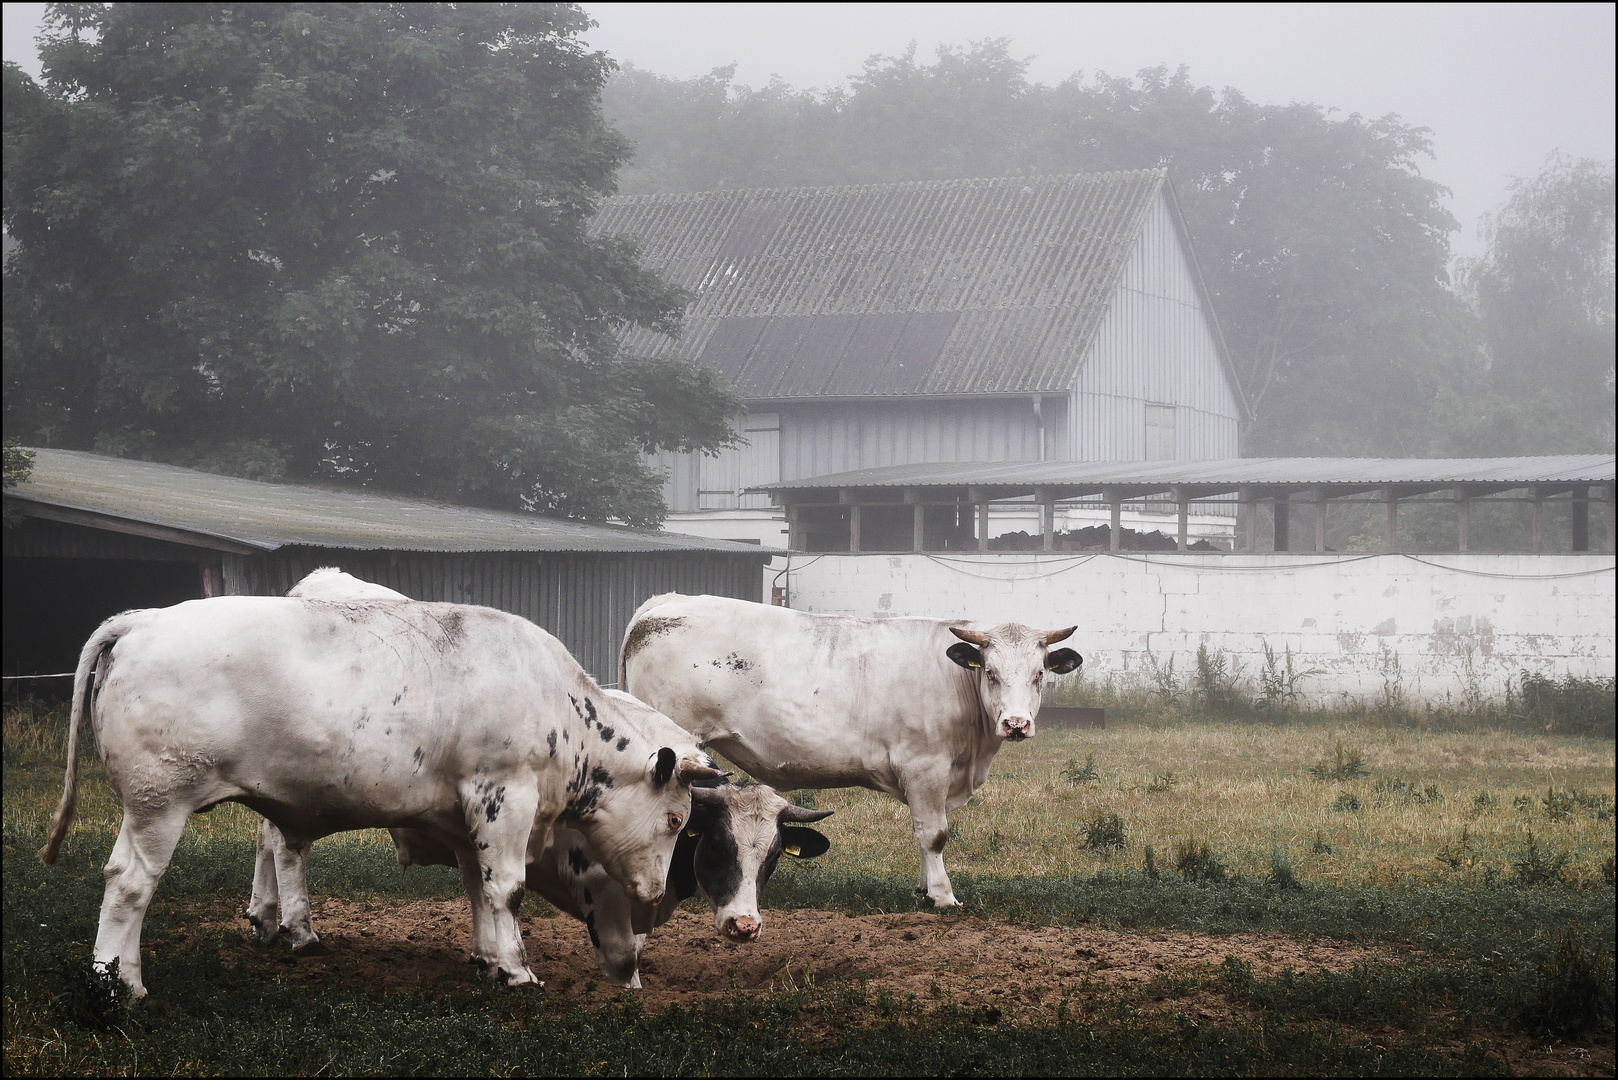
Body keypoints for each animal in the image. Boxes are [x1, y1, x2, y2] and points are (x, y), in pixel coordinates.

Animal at [39, 592, 721, 997]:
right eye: (675, 820)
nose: (656, 892)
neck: (560, 707)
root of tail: (144, 619)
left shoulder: (466, 815)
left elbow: (477, 886)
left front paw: (485, 955)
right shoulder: (504, 794)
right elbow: (507, 888)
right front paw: (517, 969)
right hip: (159, 802)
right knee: (130, 883)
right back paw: (121, 985)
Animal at [618, 595, 1087, 906]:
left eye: (1039, 674)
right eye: (990, 672)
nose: (1016, 724)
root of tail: (662, 604)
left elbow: (924, 832)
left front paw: (924, 888)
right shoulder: (925, 766)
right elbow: (934, 833)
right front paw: (943, 896)